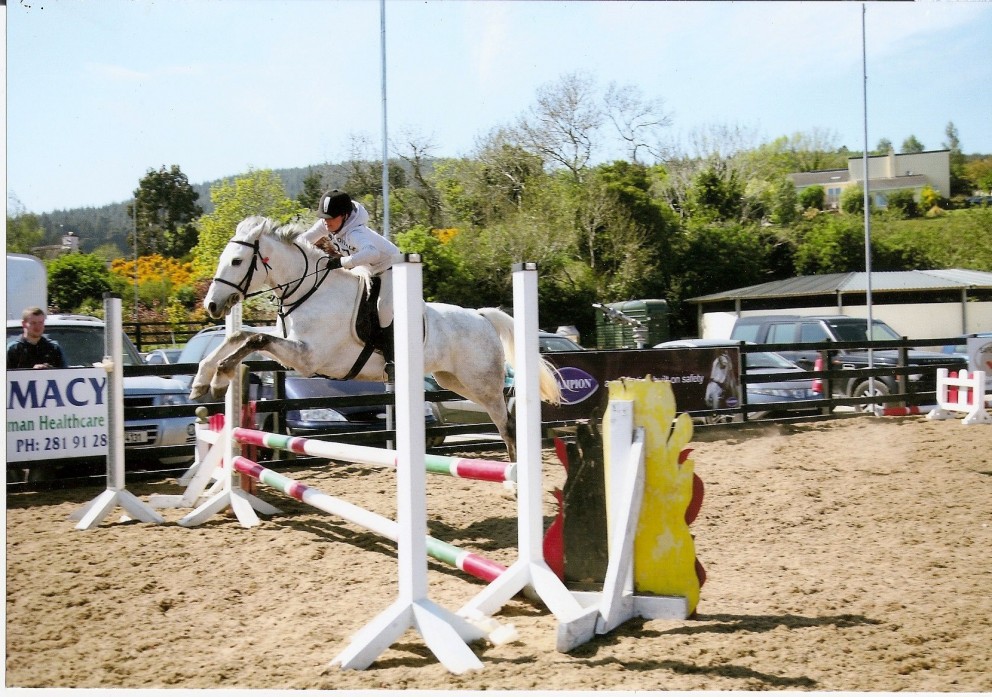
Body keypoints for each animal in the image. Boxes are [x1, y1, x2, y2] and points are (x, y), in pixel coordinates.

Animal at [190, 215, 562, 460]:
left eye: (237, 261)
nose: (212, 305)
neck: (309, 289)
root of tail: (482, 317)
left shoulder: (307, 357)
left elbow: (253, 341)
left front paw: (221, 378)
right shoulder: (291, 346)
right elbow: (242, 335)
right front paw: (203, 381)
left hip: (481, 382)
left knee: (506, 422)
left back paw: (515, 481)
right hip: (455, 380)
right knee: (500, 419)